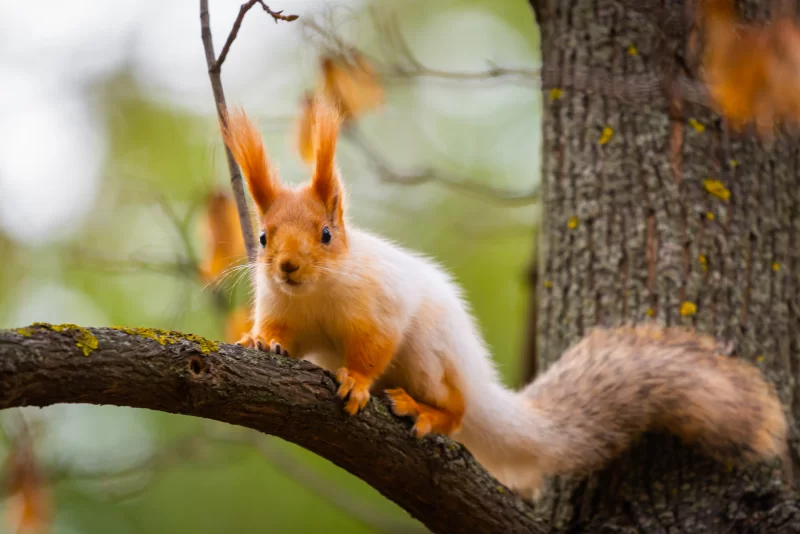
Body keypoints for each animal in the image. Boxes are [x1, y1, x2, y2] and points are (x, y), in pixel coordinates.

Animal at [220, 96, 790, 500]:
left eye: (325, 235)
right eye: (264, 238)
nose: (287, 267)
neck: (317, 293)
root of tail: (478, 380)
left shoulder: (382, 306)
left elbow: (374, 346)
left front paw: (358, 382)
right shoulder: (282, 307)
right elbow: (282, 336)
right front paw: (260, 343)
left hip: (430, 357)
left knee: (456, 408)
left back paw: (426, 412)